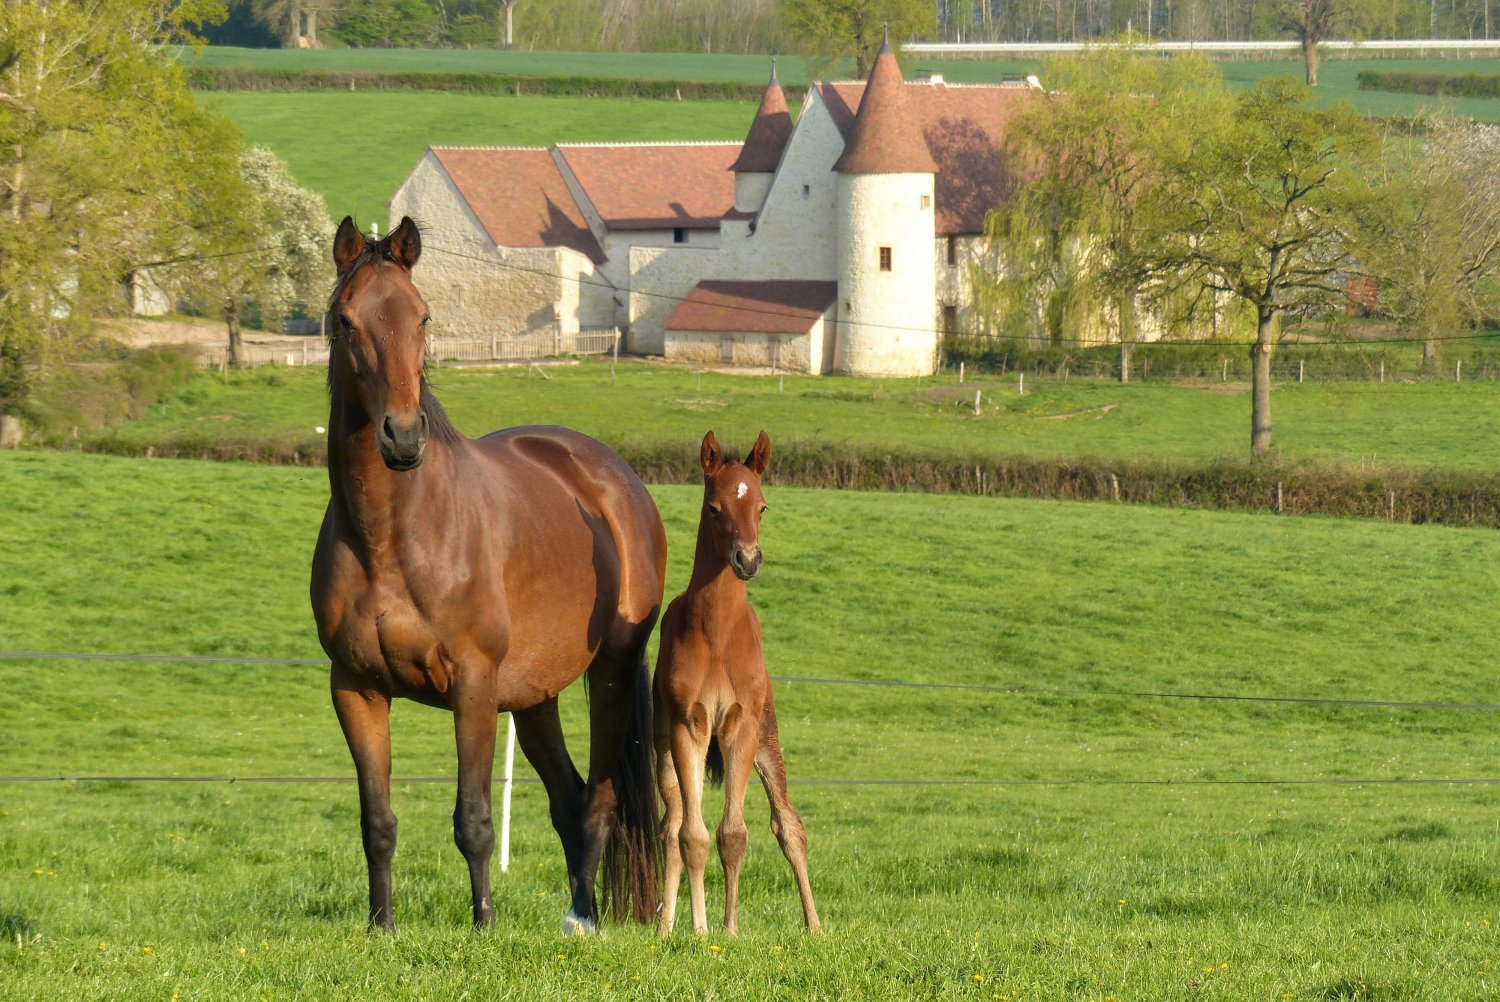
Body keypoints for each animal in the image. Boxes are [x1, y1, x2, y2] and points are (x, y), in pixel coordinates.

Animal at [310, 216, 664, 934]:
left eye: (422, 315)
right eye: (345, 320)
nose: (403, 436)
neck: (391, 539)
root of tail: (615, 478)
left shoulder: (471, 686)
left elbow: (472, 821)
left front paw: (483, 925)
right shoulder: (355, 689)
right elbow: (377, 822)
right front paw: (382, 927)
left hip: (610, 672)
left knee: (599, 800)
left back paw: (582, 918)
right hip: (533, 696)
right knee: (568, 799)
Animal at [653, 430, 820, 935]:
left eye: (761, 506)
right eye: (714, 507)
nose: (747, 559)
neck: (716, 636)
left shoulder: (740, 729)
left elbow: (734, 834)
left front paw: (729, 929)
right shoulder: (688, 727)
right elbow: (692, 836)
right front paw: (700, 928)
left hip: (769, 739)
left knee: (790, 825)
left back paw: (814, 925)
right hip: (662, 750)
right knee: (670, 825)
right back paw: (665, 924)